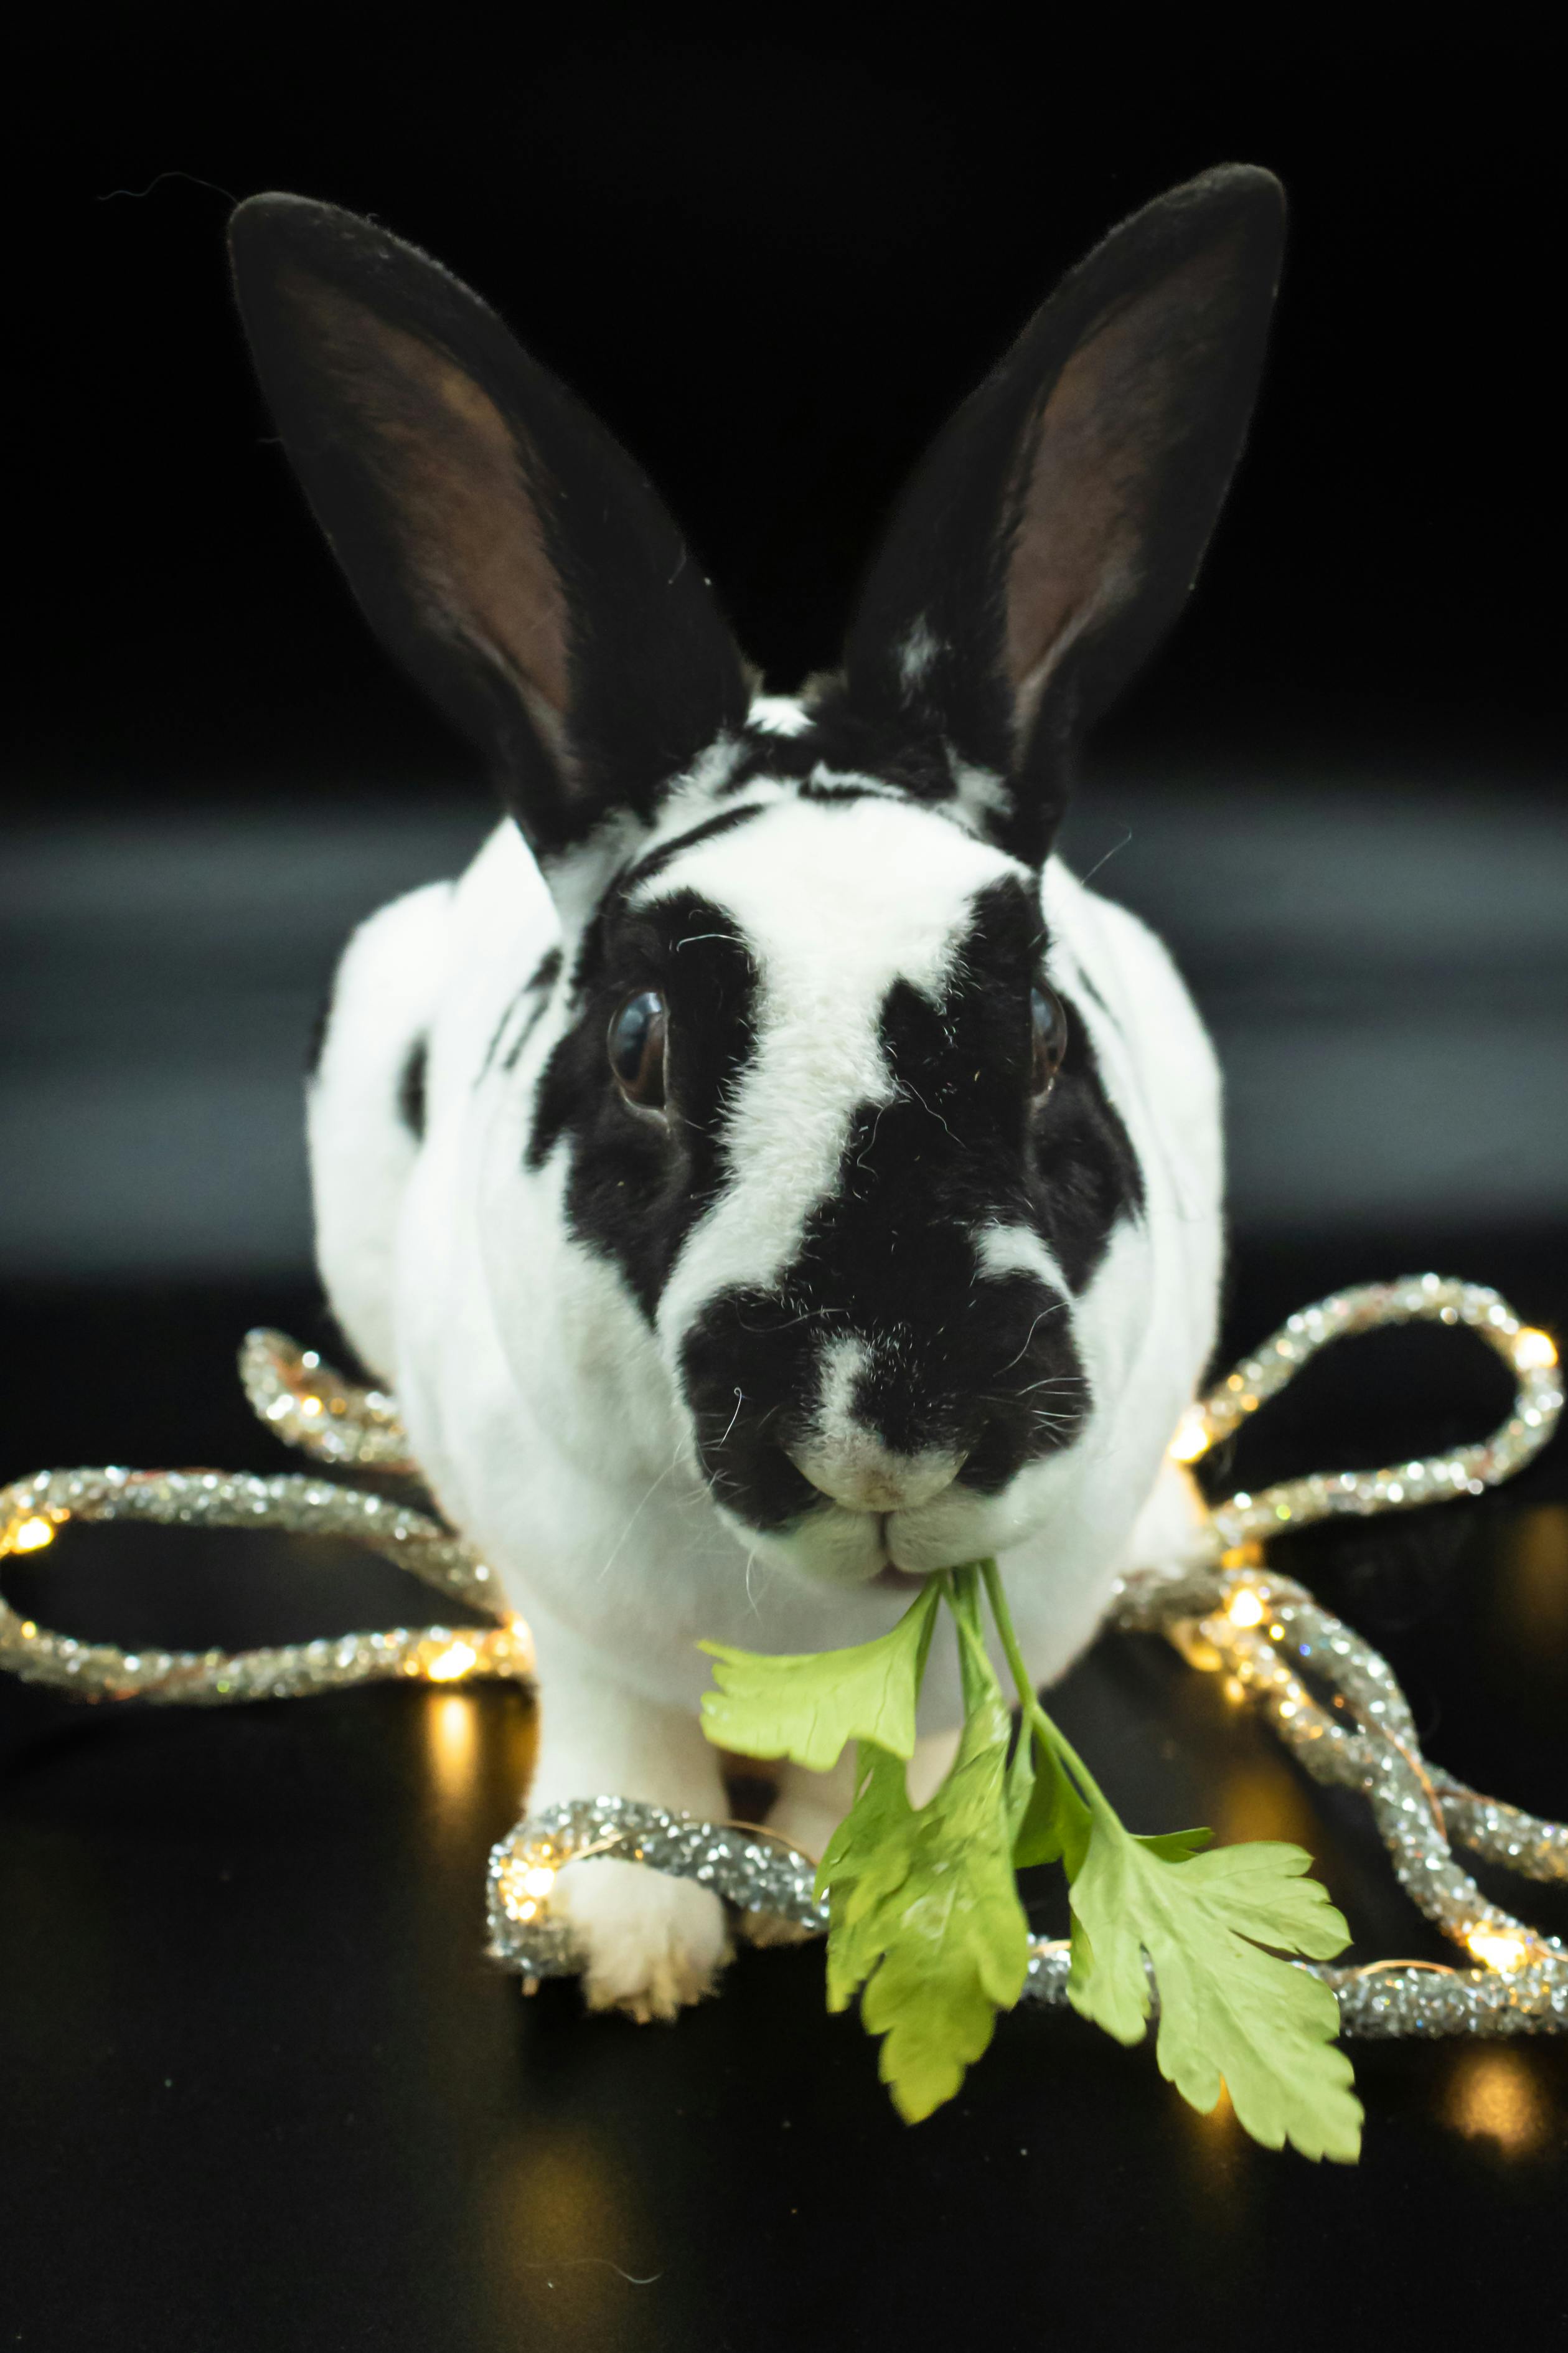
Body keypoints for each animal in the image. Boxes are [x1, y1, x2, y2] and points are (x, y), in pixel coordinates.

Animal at [232, 161, 1288, 2023]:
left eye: (1039, 1038)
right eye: (637, 1044)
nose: (885, 1407)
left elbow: (919, 1746)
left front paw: (850, 1886)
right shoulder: (566, 1587)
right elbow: (618, 1723)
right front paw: (627, 1927)